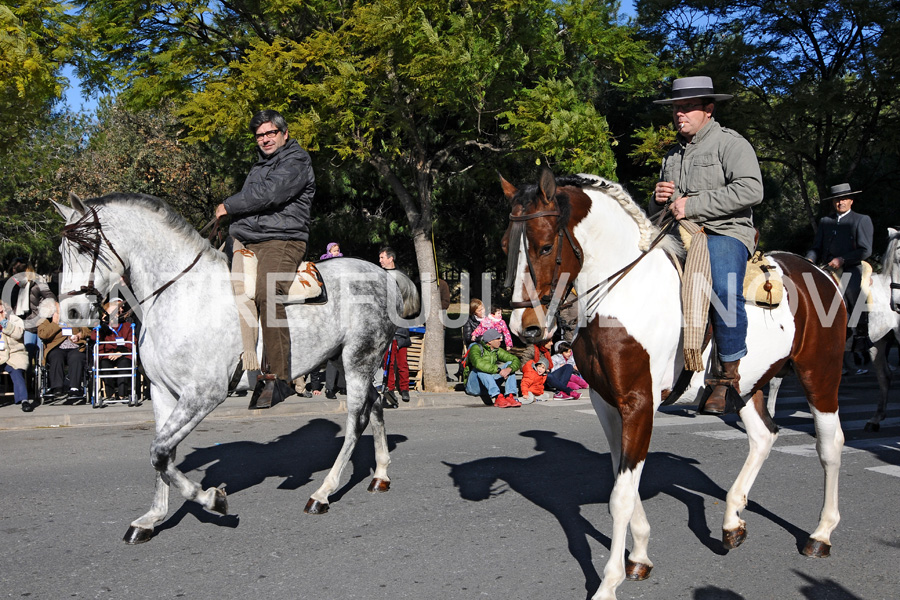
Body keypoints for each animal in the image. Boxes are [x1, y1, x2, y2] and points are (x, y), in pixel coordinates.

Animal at [55, 193, 418, 544]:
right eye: (61, 251)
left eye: (85, 247)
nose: (71, 313)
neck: (183, 294)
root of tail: (384, 275)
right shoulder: (162, 392)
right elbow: (164, 453)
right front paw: (151, 519)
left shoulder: (204, 393)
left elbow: (159, 452)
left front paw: (211, 498)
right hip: (357, 362)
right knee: (375, 405)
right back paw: (380, 475)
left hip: (358, 359)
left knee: (357, 420)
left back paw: (322, 493)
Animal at [502, 169, 848, 600]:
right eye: (506, 246)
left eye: (546, 246)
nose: (525, 328)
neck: (624, 293)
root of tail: (819, 272)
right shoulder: (605, 403)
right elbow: (623, 478)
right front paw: (638, 557)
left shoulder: (638, 402)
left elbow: (621, 495)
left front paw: (608, 583)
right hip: (746, 386)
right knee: (763, 436)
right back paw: (732, 520)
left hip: (820, 375)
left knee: (829, 445)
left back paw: (821, 534)